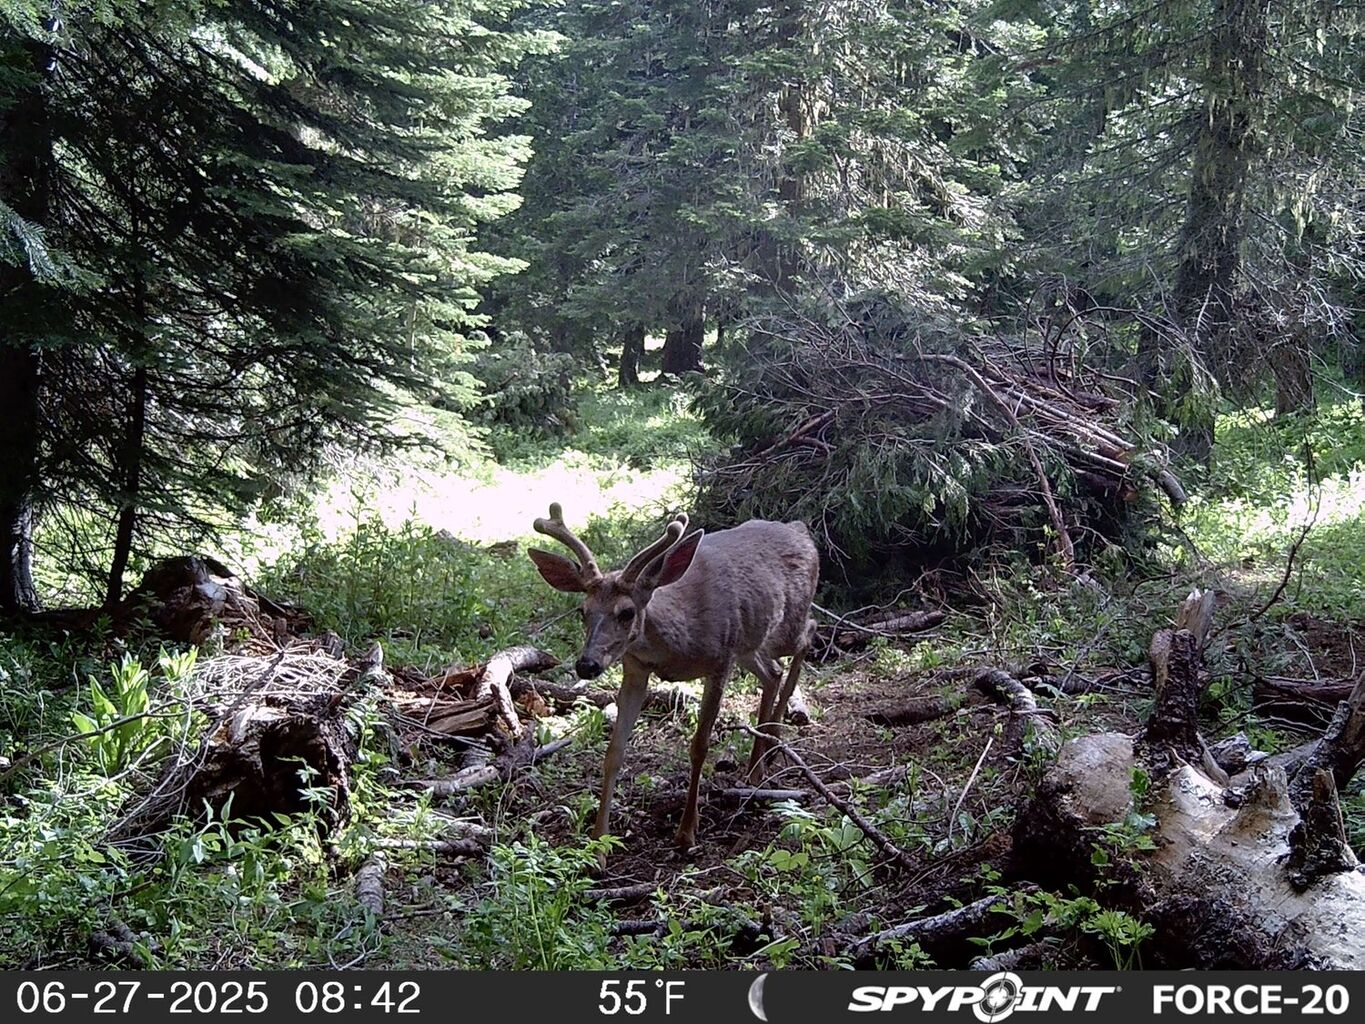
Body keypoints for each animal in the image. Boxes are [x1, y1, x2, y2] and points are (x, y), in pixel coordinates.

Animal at [528, 502, 818, 861]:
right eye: (583, 611)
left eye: (627, 612)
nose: (587, 665)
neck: (677, 640)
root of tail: (800, 529)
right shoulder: (636, 667)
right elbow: (615, 751)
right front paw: (599, 845)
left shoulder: (720, 660)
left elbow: (699, 745)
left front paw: (686, 833)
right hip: (750, 644)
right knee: (774, 672)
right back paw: (757, 765)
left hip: (782, 627)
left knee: (808, 634)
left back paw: (774, 742)